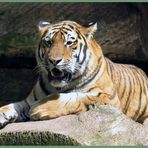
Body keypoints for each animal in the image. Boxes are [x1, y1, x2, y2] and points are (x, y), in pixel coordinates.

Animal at [0, 20, 147, 128]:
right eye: (48, 42)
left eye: (69, 43)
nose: (54, 60)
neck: (57, 87)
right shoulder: (28, 101)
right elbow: (12, 106)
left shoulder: (109, 99)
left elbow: (76, 97)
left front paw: (41, 108)